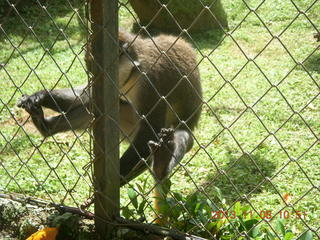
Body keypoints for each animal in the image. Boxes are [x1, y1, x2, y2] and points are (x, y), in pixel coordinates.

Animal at [16, 30, 202, 191]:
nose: (94, 77)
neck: (134, 71)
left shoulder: (151, 80)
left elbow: (150, 131)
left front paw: (111, 183)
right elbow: (87, 97)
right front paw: (41, 96)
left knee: (181, 134)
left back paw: (161, 165)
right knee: (97, 108)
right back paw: (45, 126)